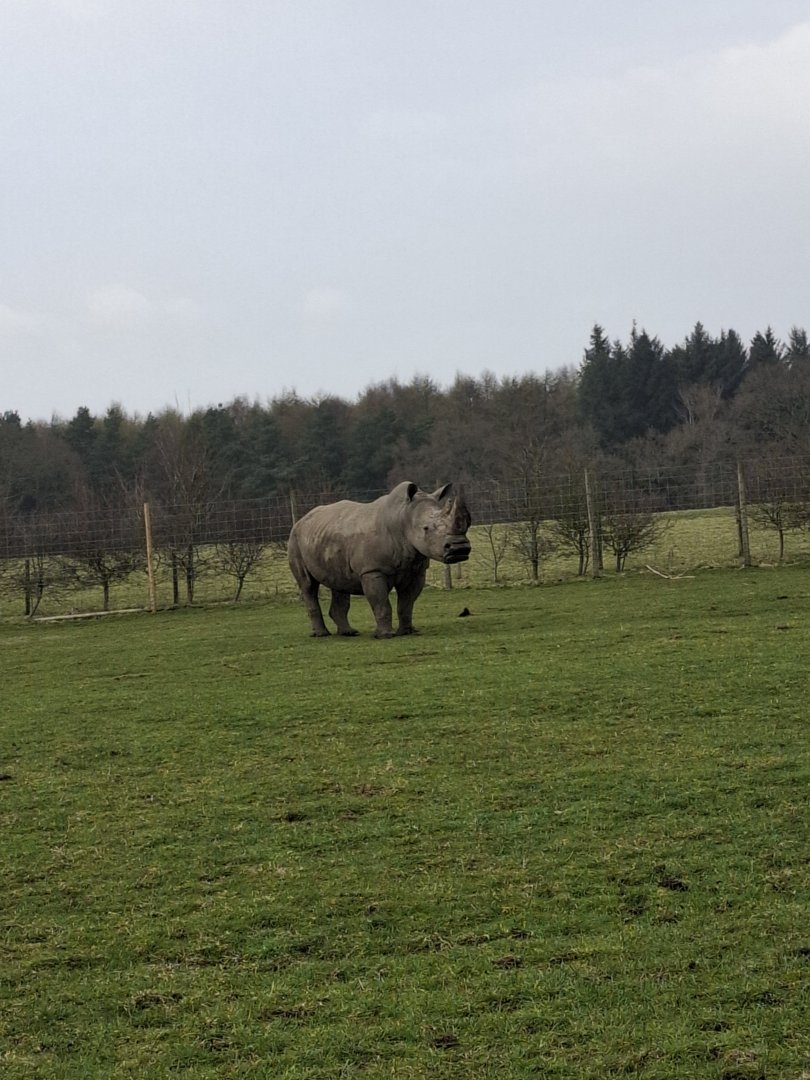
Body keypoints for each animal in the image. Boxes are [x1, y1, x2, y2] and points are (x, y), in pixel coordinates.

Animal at [287, 481, 471, 638]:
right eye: (426, 528)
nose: (459, 548)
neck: (403, 517)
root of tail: (302, 519)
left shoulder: (415, 570)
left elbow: (407, 603)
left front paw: (407, 632)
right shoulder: (372, 570)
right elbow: (381, 603)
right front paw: (386, 635)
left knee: (339, 582)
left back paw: (349, 633)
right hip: (295, 539)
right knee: (308, 585)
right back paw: (321, 635)